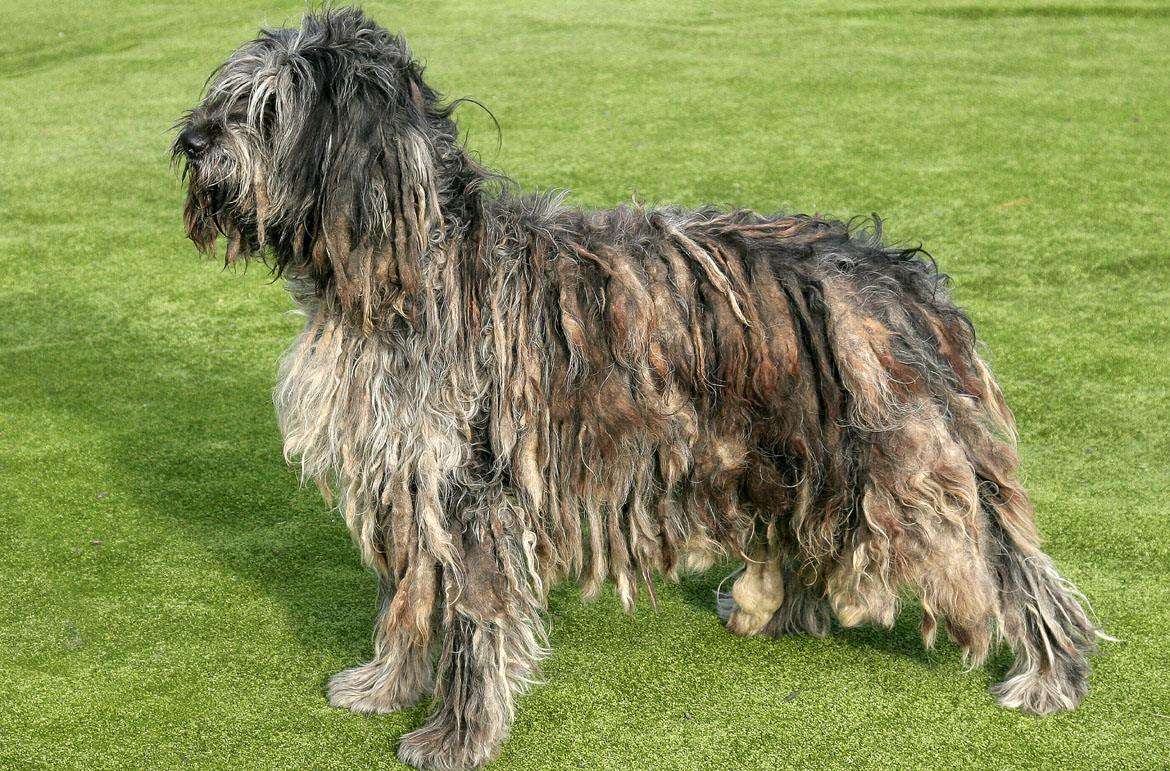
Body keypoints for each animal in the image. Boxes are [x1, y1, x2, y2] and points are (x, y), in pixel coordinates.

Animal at [170, 7, 1095, 771]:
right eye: (229, 95)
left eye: (267, 108)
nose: (190, 140)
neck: (408, 269)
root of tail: (897, 274)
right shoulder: (406, 480)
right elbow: (409, 599)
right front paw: (385, 685)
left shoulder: (470, 490)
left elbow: (473, 621)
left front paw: (457, 736)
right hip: (794, 446)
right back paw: (773, 608)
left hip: (898, 462)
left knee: (1006, 561)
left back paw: (1050, 674)